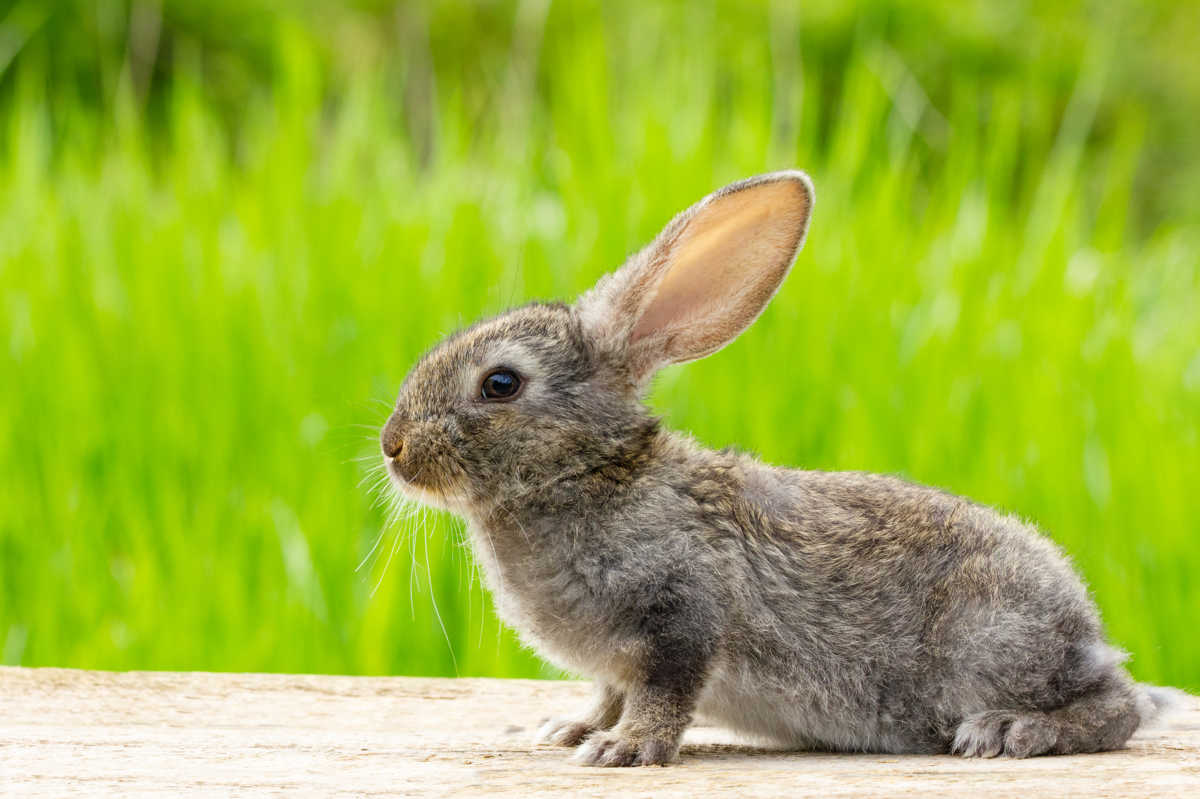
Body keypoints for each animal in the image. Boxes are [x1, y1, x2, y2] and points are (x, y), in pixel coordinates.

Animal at [379, 171, 1181, 767]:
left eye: (500, 384)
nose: (392, 446)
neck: (589, 472)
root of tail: (1082, 624)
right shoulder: (618, 659)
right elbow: (610, 691)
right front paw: (572, 729)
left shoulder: (683, 615)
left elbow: (663, 693)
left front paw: (624, 749)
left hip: (995, 640)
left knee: (1118, 706)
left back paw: (1012, 730)